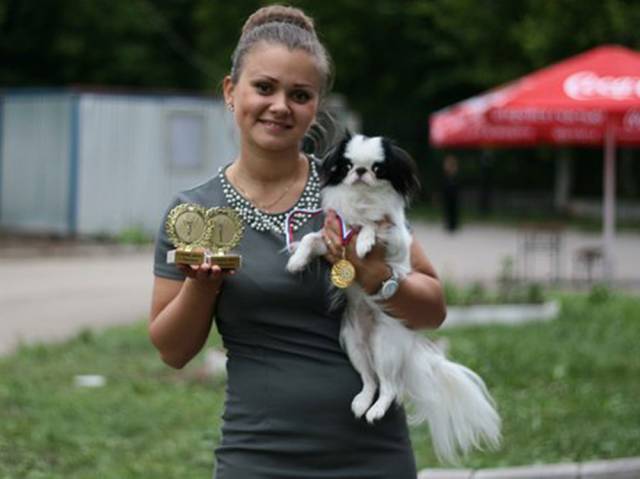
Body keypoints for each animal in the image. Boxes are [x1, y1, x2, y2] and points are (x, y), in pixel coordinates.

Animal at [286, 133, 501, 463]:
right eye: (347, 166)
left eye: (378, 168)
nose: (361, 172)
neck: (362, 201)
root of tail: (407, 346)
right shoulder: (330, 240)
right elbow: (311, 239)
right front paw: (297, 261)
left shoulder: (397, 236)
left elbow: (373, 225)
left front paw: (363, 241)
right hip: (355, 344)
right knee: (370, 380)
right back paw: (363, 402)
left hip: (384, 347)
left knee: (389, 387)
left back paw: (375, 411)